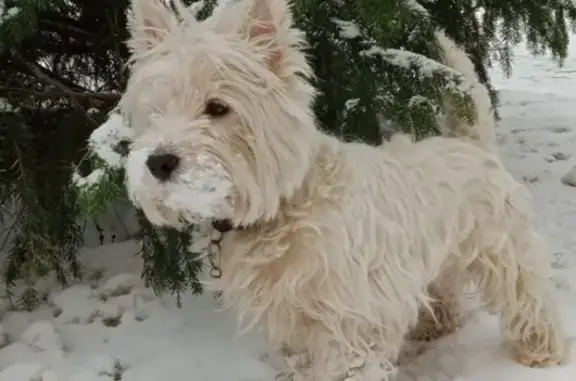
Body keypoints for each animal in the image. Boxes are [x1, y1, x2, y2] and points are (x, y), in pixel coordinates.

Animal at [119, 0, 564, 378]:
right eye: (155, 112)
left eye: (218, 107)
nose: (158, 162)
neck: (285, 206)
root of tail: (469, 143)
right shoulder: (293, 326)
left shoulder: (350, 325)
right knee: (445, 288)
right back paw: (434, 323)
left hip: (502, 248)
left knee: (528, 297)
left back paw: (541, 350)